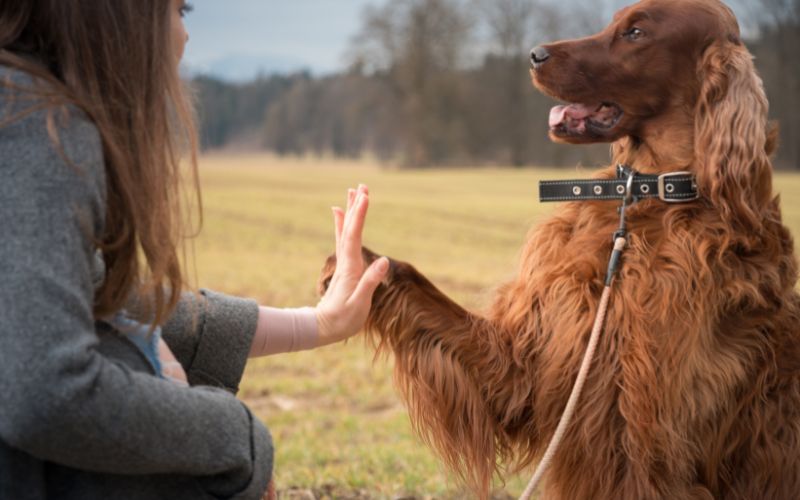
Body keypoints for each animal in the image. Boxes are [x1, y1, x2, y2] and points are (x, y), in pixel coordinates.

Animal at [318, 0, 800, 496]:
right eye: (614, 21)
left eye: (636, 32)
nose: (534, 54)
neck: (645, 198)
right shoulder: (527, 366)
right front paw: (358, 266)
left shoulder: (646, 441)